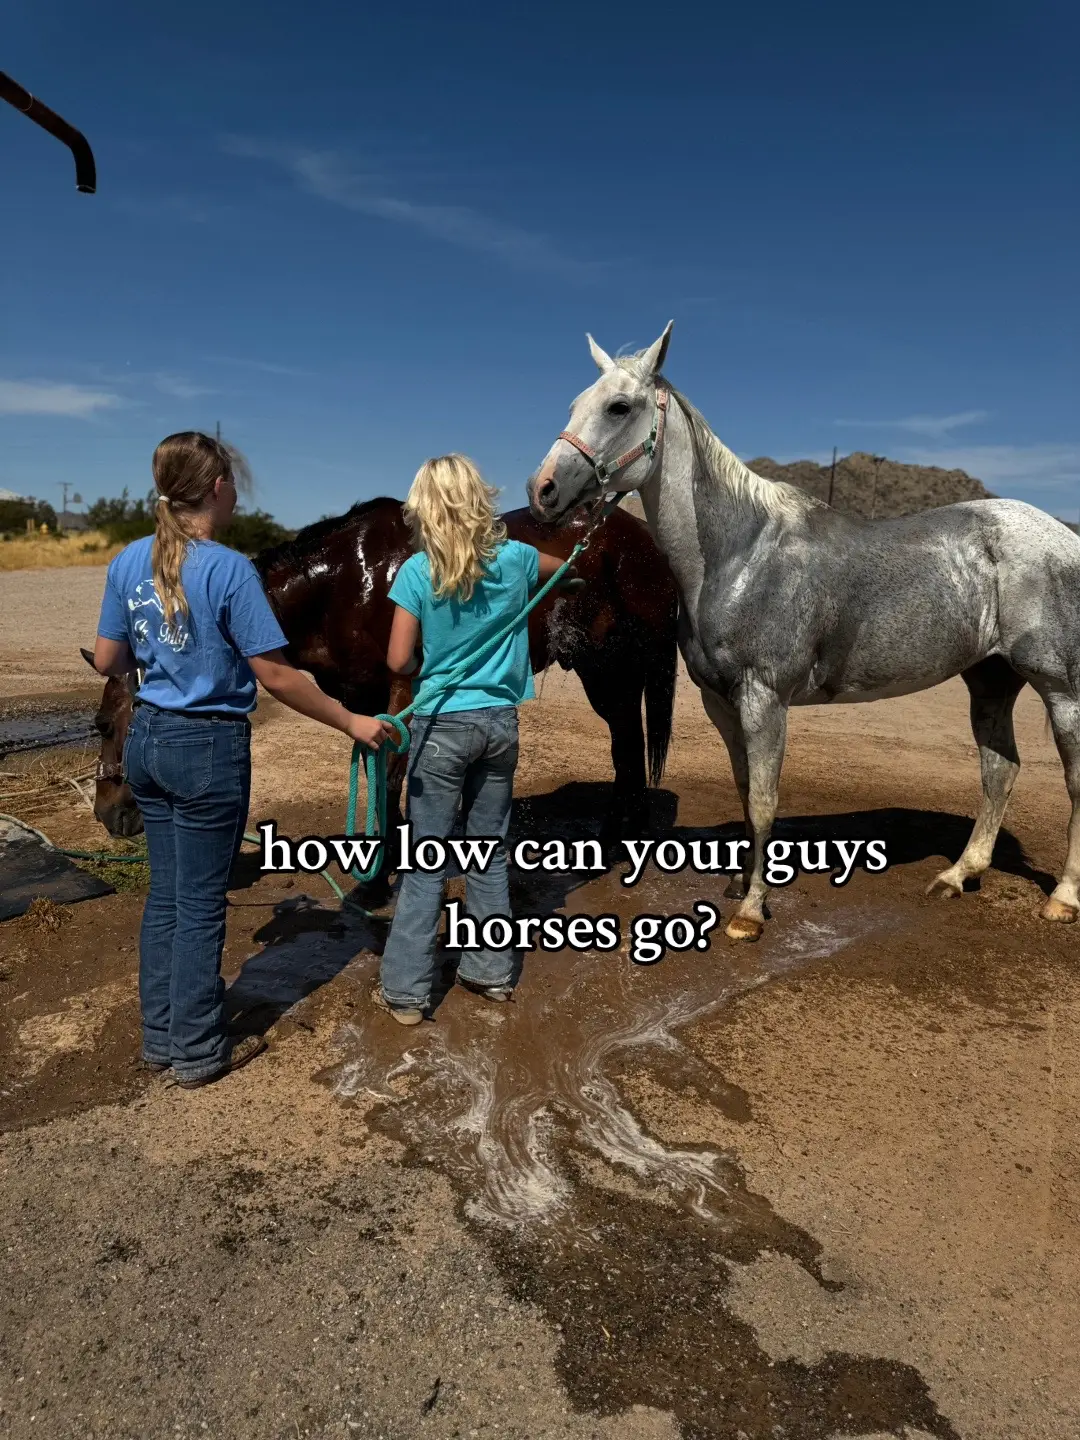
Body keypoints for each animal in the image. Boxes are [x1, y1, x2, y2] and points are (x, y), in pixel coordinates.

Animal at [86, 495, 676, 858]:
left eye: (105, 725)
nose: (109, 815)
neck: (346, 583)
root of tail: (642, 537)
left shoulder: (401, 689)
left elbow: (392, 770)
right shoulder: (362, 700)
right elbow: (373, 771)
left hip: (614, 670)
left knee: (628, 744)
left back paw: (621, 837)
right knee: (627, 745)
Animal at [529, 321, 1080, 938]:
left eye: (619, 407)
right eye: (575, 405)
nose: (543, 489)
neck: (740, 554)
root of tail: (1063, 536)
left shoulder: (765, 699)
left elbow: (766, 800)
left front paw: (749, 913)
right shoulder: (723, 702)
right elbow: (746, 790)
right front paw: (740, 885)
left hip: (1060, 689)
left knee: (1071, 781)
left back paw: (1062, 897)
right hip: (991, 680)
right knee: (999, 770)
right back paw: (958, 875)